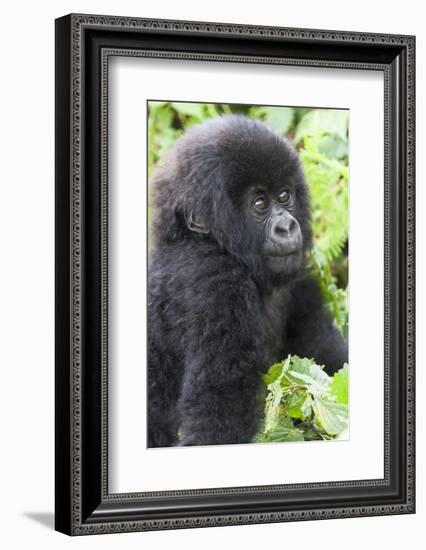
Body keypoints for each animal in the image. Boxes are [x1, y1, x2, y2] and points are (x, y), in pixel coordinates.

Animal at [146, 115, 346, 448]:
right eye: (260, 204)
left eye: (284, 196)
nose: (286, 227)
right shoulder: (214, 284)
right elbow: (219, 413)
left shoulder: (298, 276)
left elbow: (325, 356)